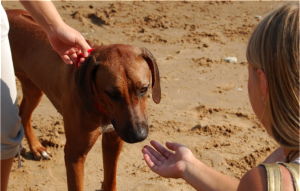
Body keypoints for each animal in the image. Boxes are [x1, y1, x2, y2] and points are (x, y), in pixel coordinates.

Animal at [6, 9, 159, 191]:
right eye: (112, 93)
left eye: (143, 89)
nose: (138, 136)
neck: (100, 105)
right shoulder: (75, 154)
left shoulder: (114, 139)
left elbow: (110, 179)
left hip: (33, 87)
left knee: (24, 114)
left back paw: (36, 148)